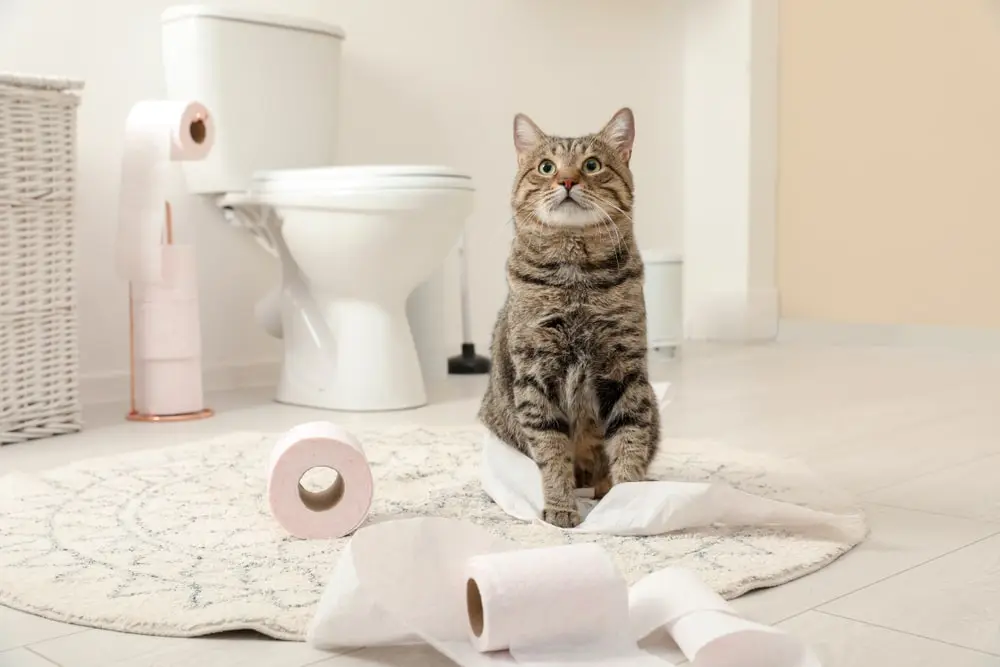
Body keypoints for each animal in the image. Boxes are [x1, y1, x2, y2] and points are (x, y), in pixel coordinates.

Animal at [478, 107, 660, 528]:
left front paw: (628, 502)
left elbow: (629, 439)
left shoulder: (625, 369)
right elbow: (551, 451)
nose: (566, 180)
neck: (575, 278)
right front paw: (561, 507)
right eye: (546, 166)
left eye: (591, 165)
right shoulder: (535, 374)